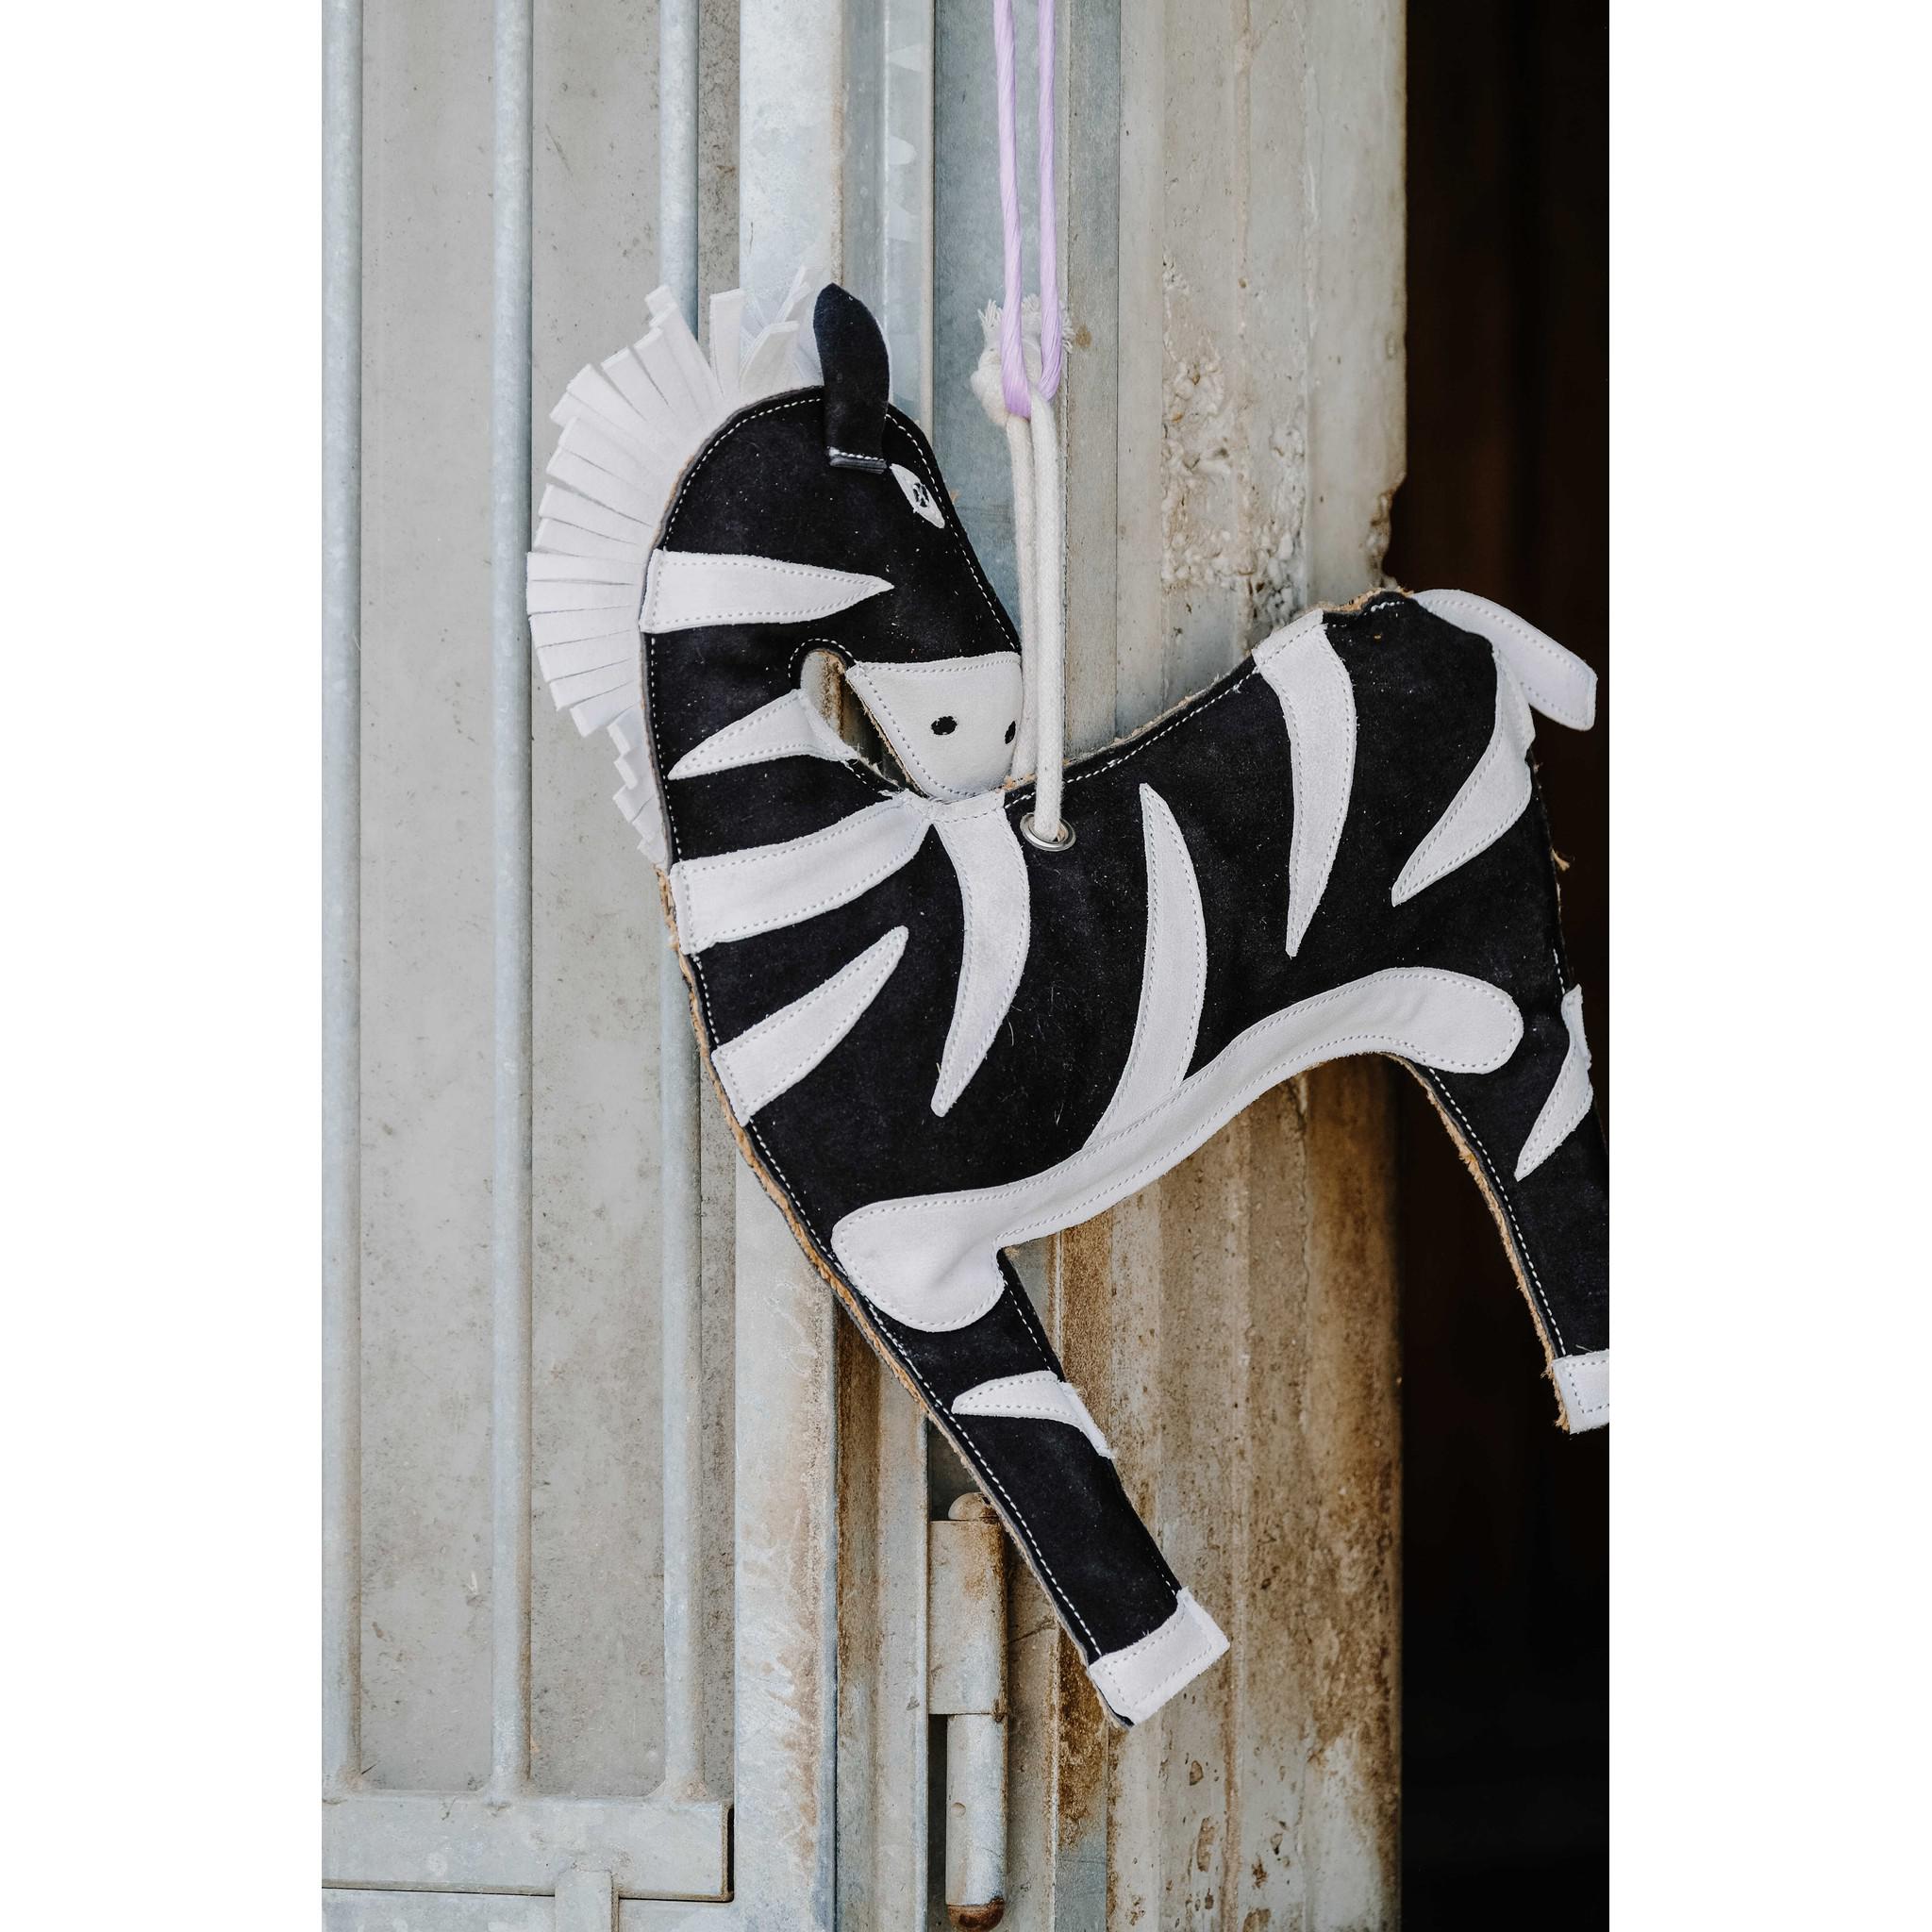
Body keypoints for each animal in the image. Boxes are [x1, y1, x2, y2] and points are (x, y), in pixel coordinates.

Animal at [526, 277, 1608, 1728]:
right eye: (918, 499)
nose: (991, 737)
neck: (814, 859)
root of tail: (1416, 614)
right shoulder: (887, 1245)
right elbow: (1046, 1459)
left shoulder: (897, 1245)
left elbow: (1047, 1466)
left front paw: (1162, 1676)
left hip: (1493, 977)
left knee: (1548, 1158)